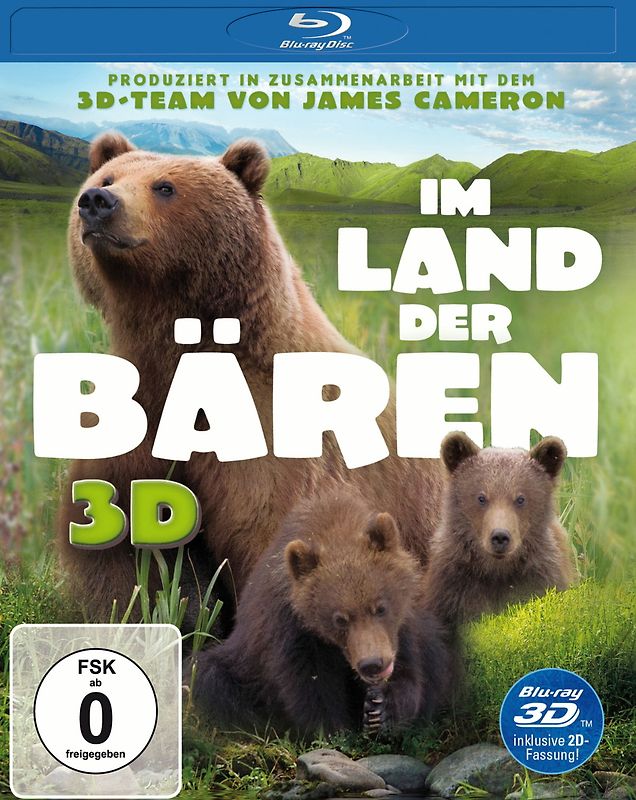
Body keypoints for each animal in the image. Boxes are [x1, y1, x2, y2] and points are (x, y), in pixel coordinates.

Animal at [59, 132, 444, 618]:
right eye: (108, 177)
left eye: (165, 187)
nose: (97, 201)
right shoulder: (136, 414)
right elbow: (122, 546)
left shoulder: (274, 441)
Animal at [190, 487, 454, 736]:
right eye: (340, 619)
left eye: (380, 607)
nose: (373, 664)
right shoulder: (294, 633)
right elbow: (310, 688)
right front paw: (335, 730)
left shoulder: (403, 628)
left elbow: (411, 672)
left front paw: (379, 709)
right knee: (212, 678)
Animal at [421, 432, 577, 625]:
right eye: (481, 497)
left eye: (520, 499)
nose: (500, 537)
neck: (496, 570)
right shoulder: (452, 587)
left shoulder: (542, 576)